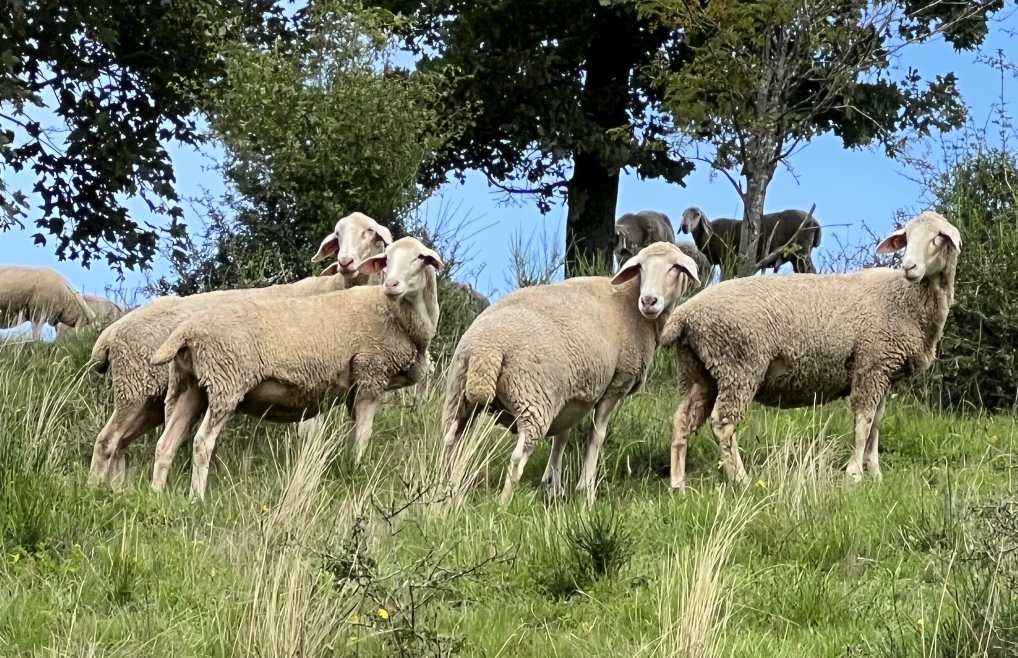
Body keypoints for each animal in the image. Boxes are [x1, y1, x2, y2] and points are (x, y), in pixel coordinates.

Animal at [87, 212, 392, 488]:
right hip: (134, 388)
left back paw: (116, 490)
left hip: (152, 398)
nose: (345, 262)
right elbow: (310, 436)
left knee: (123, 443)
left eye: (369, 232)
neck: (334, 289)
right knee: (107, 441)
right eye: (338, 235)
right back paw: (95, 488)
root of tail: (111, 333)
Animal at [147, 236, 442, 499]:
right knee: (201, 443)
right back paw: (197, 497)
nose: (391, 284)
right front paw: (358, 469)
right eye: (386, 259)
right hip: (227, 382)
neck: (394, 313)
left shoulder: (357, 387)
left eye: (419, 258)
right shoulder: (372, 374)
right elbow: (363, 435)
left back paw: (157, 493)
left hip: (191, 386)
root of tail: (187, 331)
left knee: (166, 444)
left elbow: (354, 432)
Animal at [440, 242, 700, 505]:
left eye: (674, 268)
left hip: (458, 395)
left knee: (451, 444)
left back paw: (448, 495)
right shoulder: (617, 383)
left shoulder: (571, 393)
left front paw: (553, 484)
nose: (649, 301)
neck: (629, 301)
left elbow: (562, 435)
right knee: (517, 457)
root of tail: (487, 348)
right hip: (533, 399)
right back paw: (503, 504)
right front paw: (586, 489)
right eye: (641, 267)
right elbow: (597, 435)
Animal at [680, 207, 822, 277]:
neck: (710, 234)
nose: (684, 227)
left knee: (810, 270)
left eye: (697, 214)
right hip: (796, 256)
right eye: (683, 214)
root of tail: (815, 222)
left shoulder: (726, 260)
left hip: (802, 252)